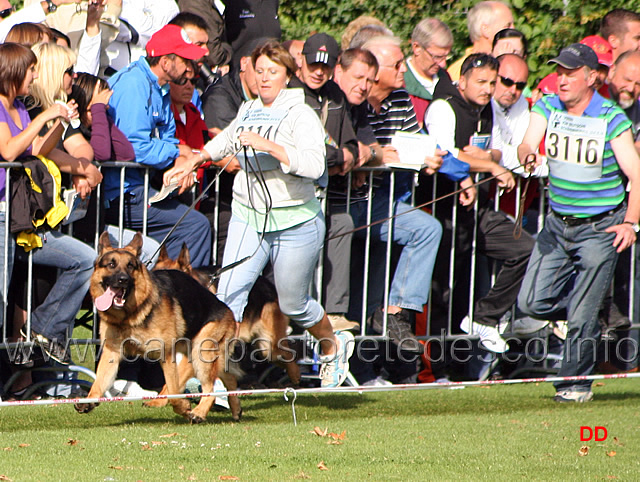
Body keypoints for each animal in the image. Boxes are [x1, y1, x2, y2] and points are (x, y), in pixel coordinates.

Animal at [75, 233, 240, 422]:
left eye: (130, 266)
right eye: (111, 264)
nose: (123, 279)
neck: (131, 315)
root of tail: (228, 310)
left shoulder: (167, 355)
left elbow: (174, 391)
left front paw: (183, 407)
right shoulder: (112, 353)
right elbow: (99, 381)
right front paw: (89, 400)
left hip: (201, 353)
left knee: (210, 389)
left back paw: (199, 412)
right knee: (229, 378)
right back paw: (235, 409)